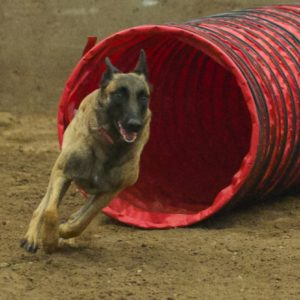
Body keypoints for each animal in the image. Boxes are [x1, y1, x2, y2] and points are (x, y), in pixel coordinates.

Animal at [20, 49, 152, 253]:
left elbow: (83, 220)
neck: (108, 144)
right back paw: (32, 237)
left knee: (80, 213)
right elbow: (50, 211)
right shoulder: (62, 173)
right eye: (119, 95)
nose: (134, 125)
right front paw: (49, 239)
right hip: (58, 175)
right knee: (42, 207)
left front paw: (64, 231)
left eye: (143, 97)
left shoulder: (110, 191)